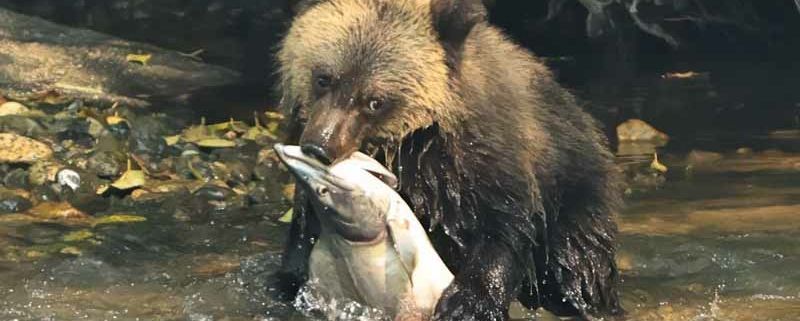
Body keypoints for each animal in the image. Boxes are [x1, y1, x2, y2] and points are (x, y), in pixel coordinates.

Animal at [272, 1, 620, 318]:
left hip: (576, 198)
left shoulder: (484, 159)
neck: (411, 142)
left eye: (375, 101)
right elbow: (303, 233)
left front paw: (467, 303)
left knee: (576, 263)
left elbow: (506, 227)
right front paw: (292, 278)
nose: (320, 146)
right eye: (324, 78)